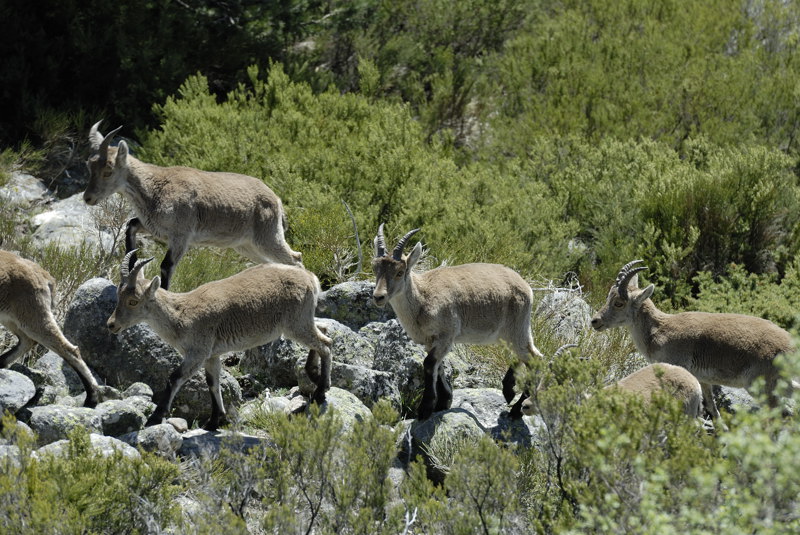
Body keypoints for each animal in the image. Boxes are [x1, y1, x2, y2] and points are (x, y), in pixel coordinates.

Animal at [0, 251, 114, 406]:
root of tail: (45, 277)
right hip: (11, 318)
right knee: (27, 340)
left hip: (31, 313)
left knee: (69, 349)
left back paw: (92, 398)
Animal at [83, 121, 304, 292]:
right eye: (89, 165)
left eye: (108, 170)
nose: (88, 197)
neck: (154, 186)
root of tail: (276, 200)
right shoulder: (154, 226)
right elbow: (130, 225)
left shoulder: (181, 235)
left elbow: (166, 266)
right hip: (246, 245)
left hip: (268, 237)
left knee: (295, 259)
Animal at [106, 251, 332, 432]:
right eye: (118, 294)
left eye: (133, 301)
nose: (111, 324)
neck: (180, 315)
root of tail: (311, 278)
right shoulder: (212, 355)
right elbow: (213, 384)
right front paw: (215, 421)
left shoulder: (198, 353)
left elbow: (174, 378)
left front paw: (154, 418)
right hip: (302, 320)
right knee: (323, 331)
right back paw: (313, 374)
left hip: (296, 324)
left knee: (326, 344)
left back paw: (321, 391)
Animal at [368, 224, 544, 420]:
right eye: (375, 268)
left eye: (399, 272)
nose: (378, 297)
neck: (422, 298)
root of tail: (526, 287)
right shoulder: (430, 340)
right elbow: (438, 367)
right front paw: (443, 402)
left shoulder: (446, 334)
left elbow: (429, 364)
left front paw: (426, 408)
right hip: (509, 333)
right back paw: (508, 390)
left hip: (517, 327)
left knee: (535, 358)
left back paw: (517, 409)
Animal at [592, 260, 796, 422]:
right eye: (608, 296)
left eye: (619, 303)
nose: (595, 321)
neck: (659, 330)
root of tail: (791, 346)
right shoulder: (702, 379)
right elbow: (712, 407)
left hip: (762, 387)